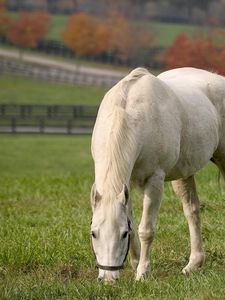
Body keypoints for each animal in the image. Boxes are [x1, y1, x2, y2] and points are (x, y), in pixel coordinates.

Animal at [90, 67, 225, 282]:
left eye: (122, 234)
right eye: (94, 233)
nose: (108, 279)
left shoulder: (154, 181)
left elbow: (146, 229)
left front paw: (143, 273)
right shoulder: (126, 184)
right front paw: (135, 264)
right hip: (183, 174)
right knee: (192, 211)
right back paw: (193, 264)